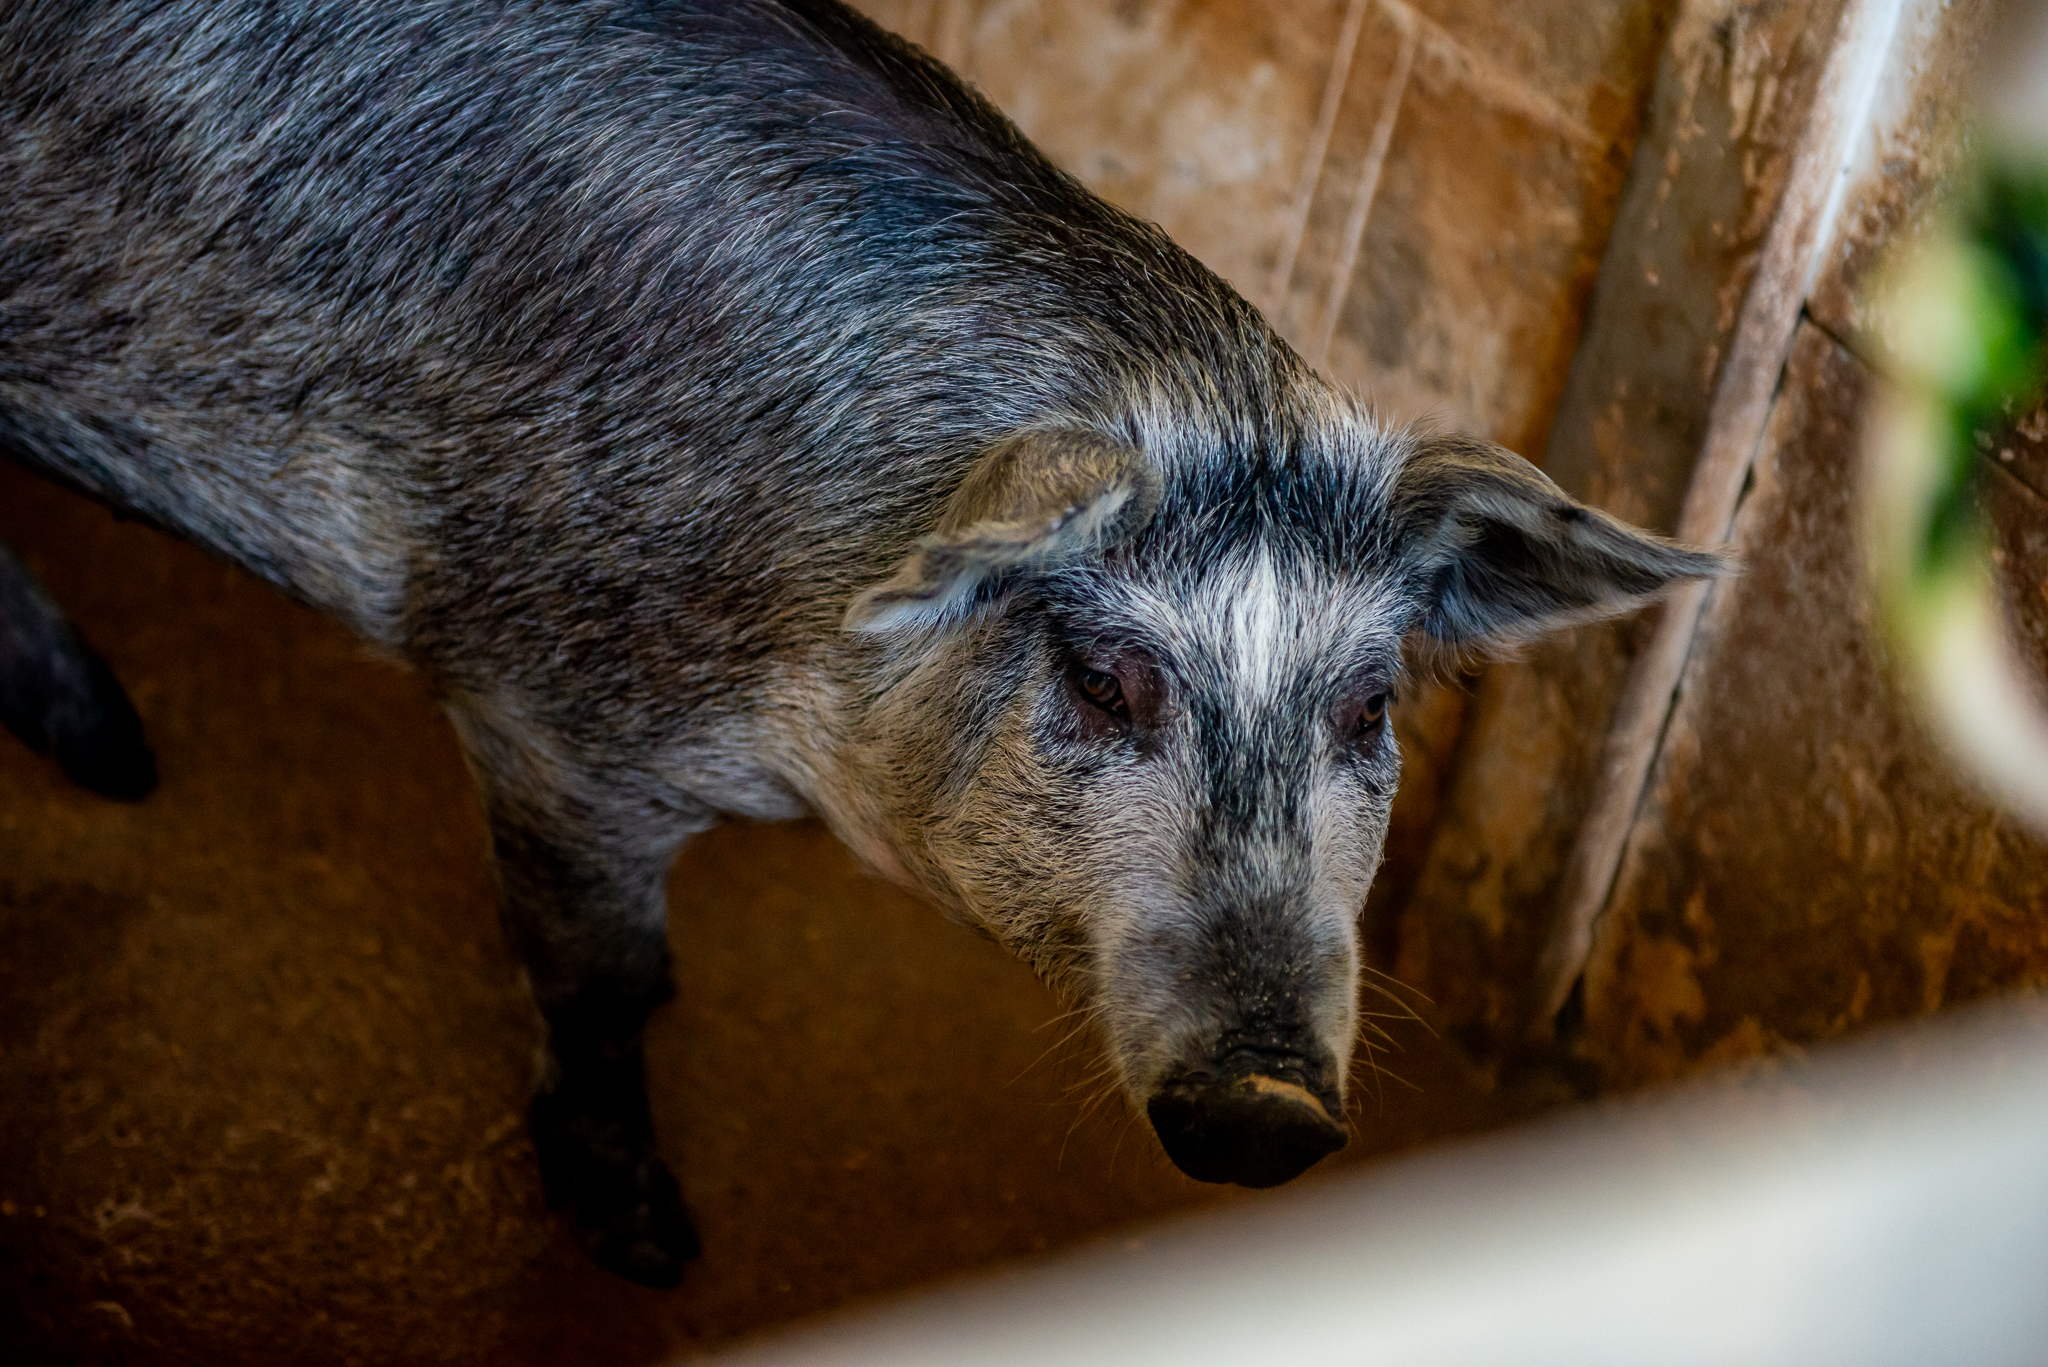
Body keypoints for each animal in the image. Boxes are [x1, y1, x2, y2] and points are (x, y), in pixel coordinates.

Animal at [0, 0, 1728, 1287]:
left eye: (1369, 704)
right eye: (1104, 676)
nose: (1269, 1103)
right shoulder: (545, 702)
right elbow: (604, 976)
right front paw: (652, 1249)